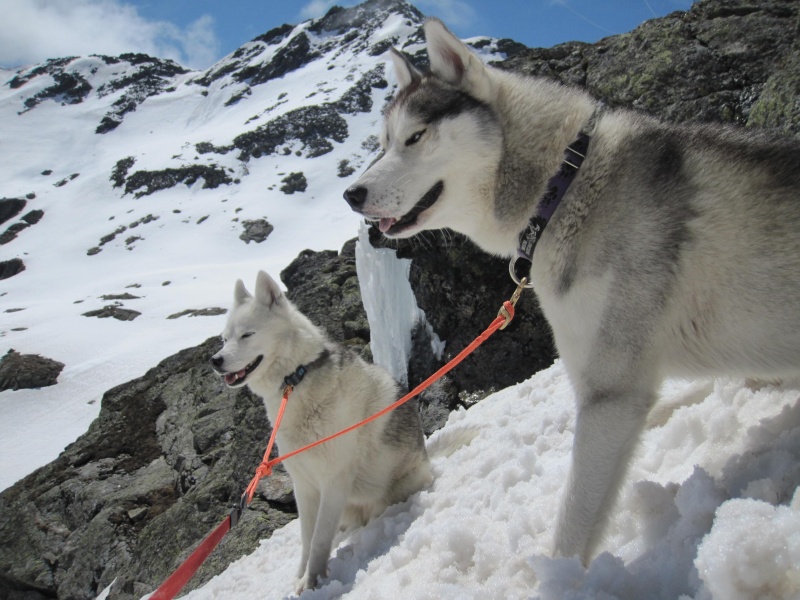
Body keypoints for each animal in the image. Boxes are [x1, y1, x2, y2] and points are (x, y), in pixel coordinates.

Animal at [208, 272, 432, 592]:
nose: (215, 360)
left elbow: (319, 540)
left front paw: (311, 582)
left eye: (247, 335)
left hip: (396, 488)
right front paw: (302, 576)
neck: (295, 380)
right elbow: (307, 539)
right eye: (225, 338)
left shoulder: (333, 482)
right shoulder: (304, 486)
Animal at [342, 17, 800, 564]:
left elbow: (574, 520)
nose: (351, 194)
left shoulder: (610, 393)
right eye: (384, 142)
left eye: (415, 137)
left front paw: (559, 575)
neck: (561, 186)